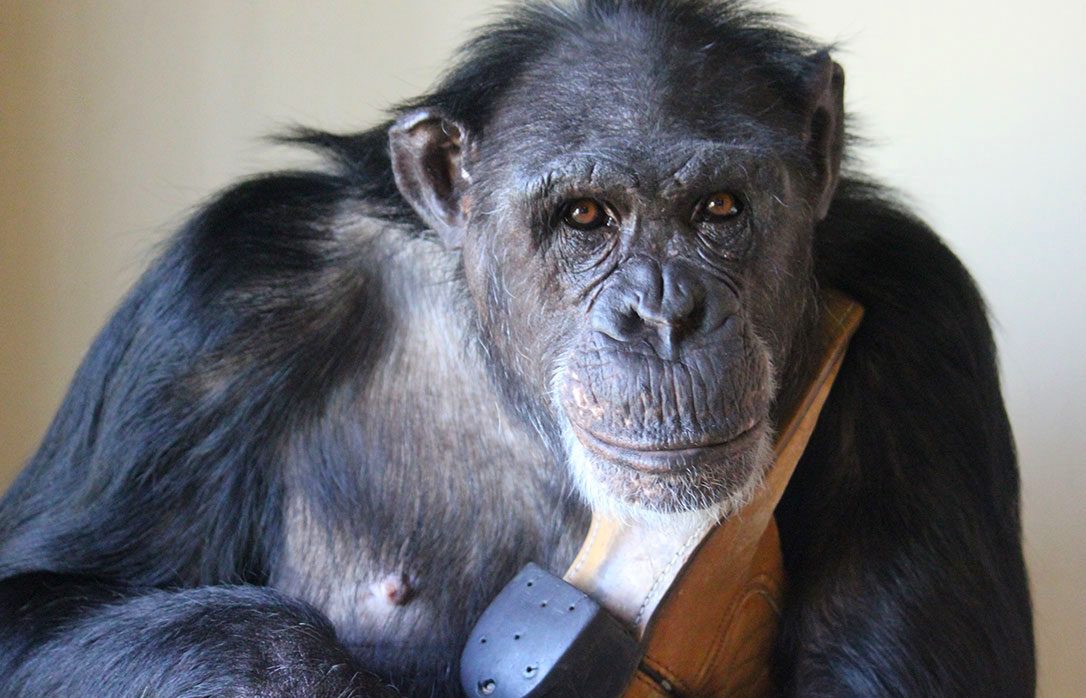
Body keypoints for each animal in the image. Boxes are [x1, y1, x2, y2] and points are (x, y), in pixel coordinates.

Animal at [0, 1, 1034, 696]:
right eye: (584, 217)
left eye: (720, 208)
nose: (663, 313)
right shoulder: (218, 304)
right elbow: (40, 593)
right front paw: (299, 671)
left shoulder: (923, 324)